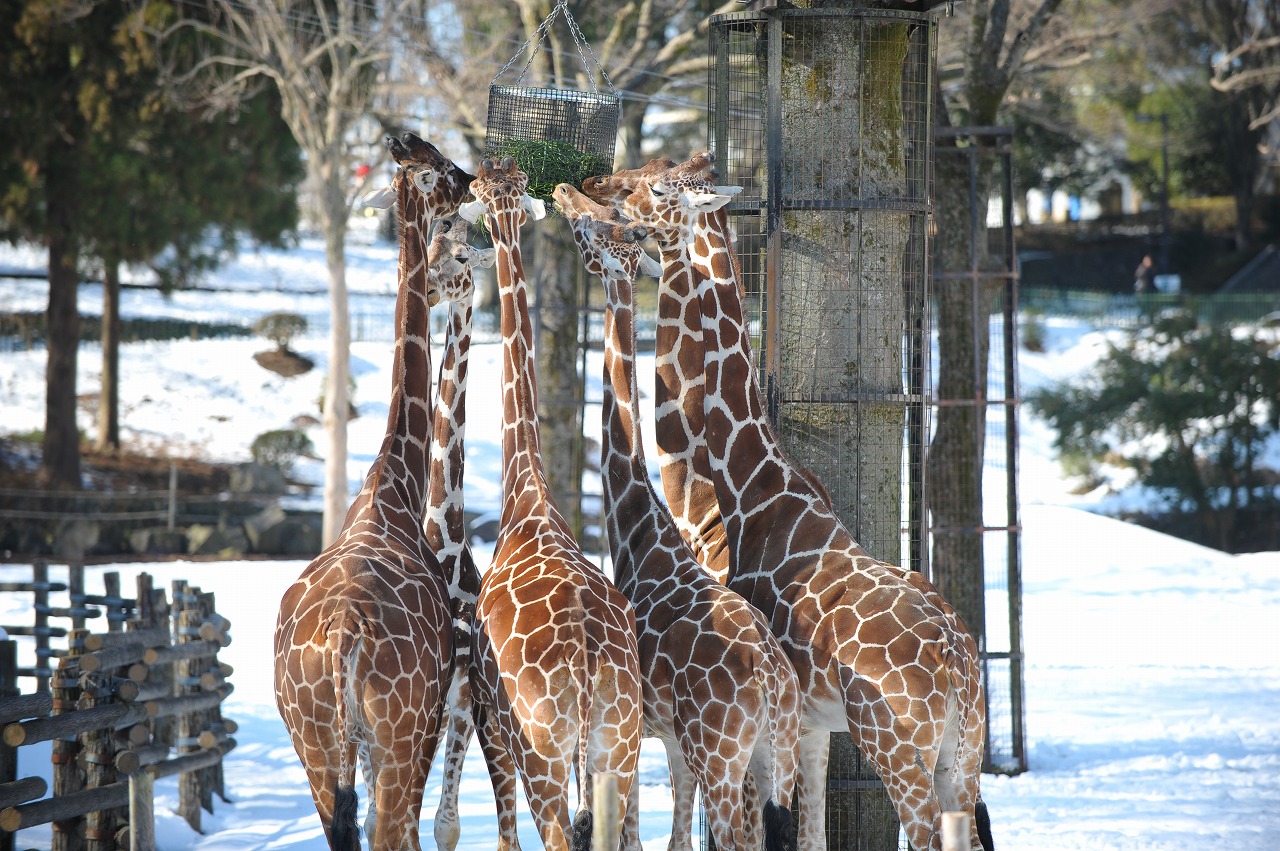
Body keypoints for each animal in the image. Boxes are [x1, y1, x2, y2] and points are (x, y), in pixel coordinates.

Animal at [272, 133, 473, 849]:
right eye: (441, 166)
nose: (472, 179)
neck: (395, 479)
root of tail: (341, 637)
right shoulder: (427, 716)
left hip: (314, 741)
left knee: (345, 828)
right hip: (393, 734)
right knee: (391, 830)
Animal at [458, 157, 645, 849]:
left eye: (481, 196)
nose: (563, 190)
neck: (526, 494)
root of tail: (588, 660)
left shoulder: (492, 720)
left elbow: (504, 832)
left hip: (544, 750)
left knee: (556, 833)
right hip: (620, 746)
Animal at [558, 184, 803, 849]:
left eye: (593, 229)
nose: (564, 191)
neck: (636, 525)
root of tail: (771, 681)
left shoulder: (640, 731)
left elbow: (624, 831)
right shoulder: (667, 738)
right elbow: (669, 838)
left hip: (721, 754)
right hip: (776, 753)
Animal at [586, 154, 993, 849]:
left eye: (657, 185)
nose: (595, 186)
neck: (741, 488)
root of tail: (959, 663)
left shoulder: (783, 722)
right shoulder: (812, 722)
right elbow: (811, 832)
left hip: (894, 744)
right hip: (962, 751)